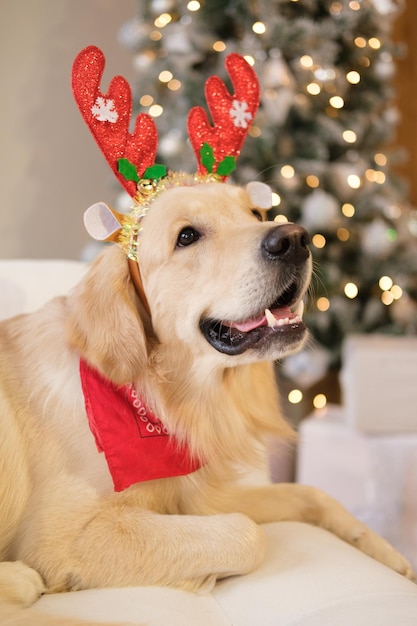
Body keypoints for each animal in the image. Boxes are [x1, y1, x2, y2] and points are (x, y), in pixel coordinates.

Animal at [0, 180, 412, 624]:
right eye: (187, 236)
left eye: (255, 214)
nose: (295, 239)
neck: (161, 398)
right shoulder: (64, 539)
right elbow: (247, 532)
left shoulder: (200, 495)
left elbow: (312, 493)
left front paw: (388, 554)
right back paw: (18, 581)